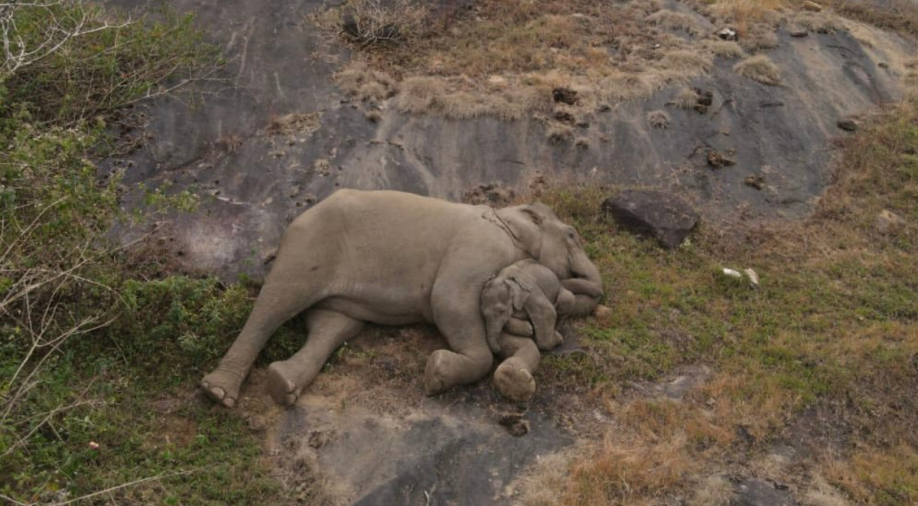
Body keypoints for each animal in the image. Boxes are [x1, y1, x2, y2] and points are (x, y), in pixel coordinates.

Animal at [199, 189, 603, 408]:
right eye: (572, 235)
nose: (559, 338)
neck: (507, 215)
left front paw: (514, 377)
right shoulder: (478, 247)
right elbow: (450, 301)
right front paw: (437, 373)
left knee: (333, 326)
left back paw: (282, 385)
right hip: (308, 247)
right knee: (275, 304)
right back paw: (219, 393)